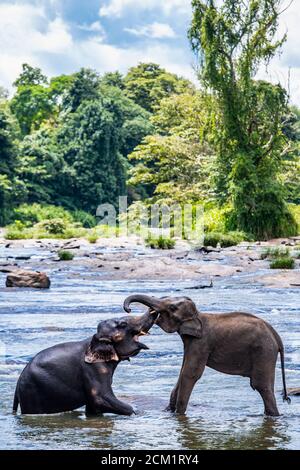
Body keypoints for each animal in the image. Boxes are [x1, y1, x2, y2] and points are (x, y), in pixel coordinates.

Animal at [12, 310, 156, 416]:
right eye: (123, 324)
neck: (95, 339)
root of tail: (18, 383)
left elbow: (92, 407)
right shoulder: (93, 369)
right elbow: (100, 399)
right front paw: (137, 412)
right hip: (32, 393)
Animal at [123, 296, 290, 416]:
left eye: (172, 308)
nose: (128, 309)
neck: (197, 315)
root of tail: (277, 337)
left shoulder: (201, 343)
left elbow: (190, 374)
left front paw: (179, 416)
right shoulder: (190, 343)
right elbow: (182, 372)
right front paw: (168, 412)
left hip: (264, 351)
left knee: (261, 386)